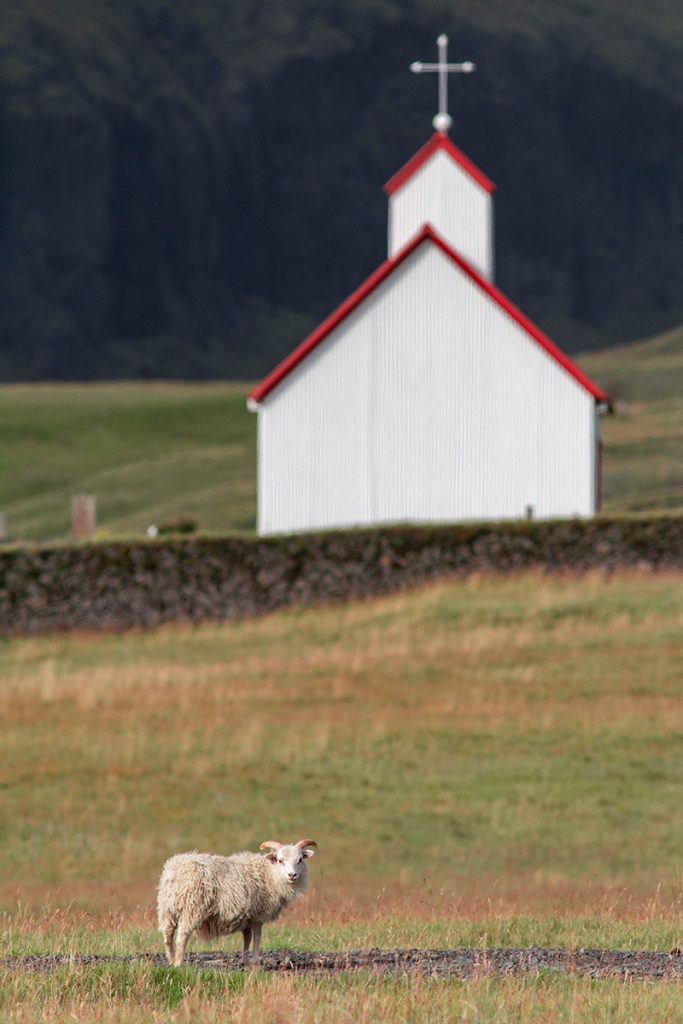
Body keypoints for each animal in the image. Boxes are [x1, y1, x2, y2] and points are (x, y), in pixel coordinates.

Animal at [156, 835, 317, 962]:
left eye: (300, 860)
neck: (269, 874)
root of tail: (175, 870)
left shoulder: (246, 917)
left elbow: (247, 938)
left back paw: (170, 961)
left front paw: (246, 963)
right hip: (191, 908)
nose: (292, 875)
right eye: (279, 860)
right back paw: (178, 964)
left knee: (167, 936)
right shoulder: (258, 915)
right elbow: (256, 938)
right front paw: (256, 965)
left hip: (167, 908)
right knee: (181, 938)